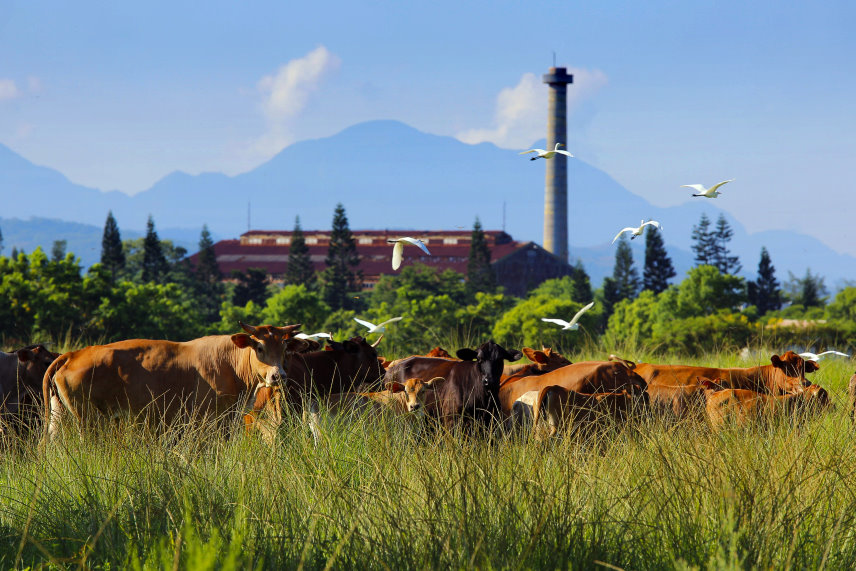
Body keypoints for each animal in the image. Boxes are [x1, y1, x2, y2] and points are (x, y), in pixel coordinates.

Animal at [43, 322, 306, 438]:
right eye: (260, 348)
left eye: (285, 348)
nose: (278, 375)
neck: (230, 364)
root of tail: (73, 354)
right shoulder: (208, 421)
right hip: (88, 419)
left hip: (60, 416)